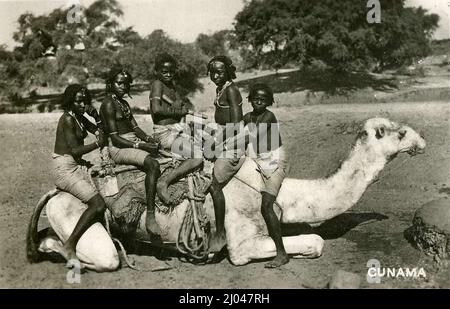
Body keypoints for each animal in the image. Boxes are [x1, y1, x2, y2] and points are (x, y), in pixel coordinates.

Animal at [26, 116, 428, 270]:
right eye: (398, 132)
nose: (422, 142)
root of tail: (55, 191)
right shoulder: (242, 243)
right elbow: (314, 241)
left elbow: (313, 241)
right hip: (79, 217)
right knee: (98, 255)